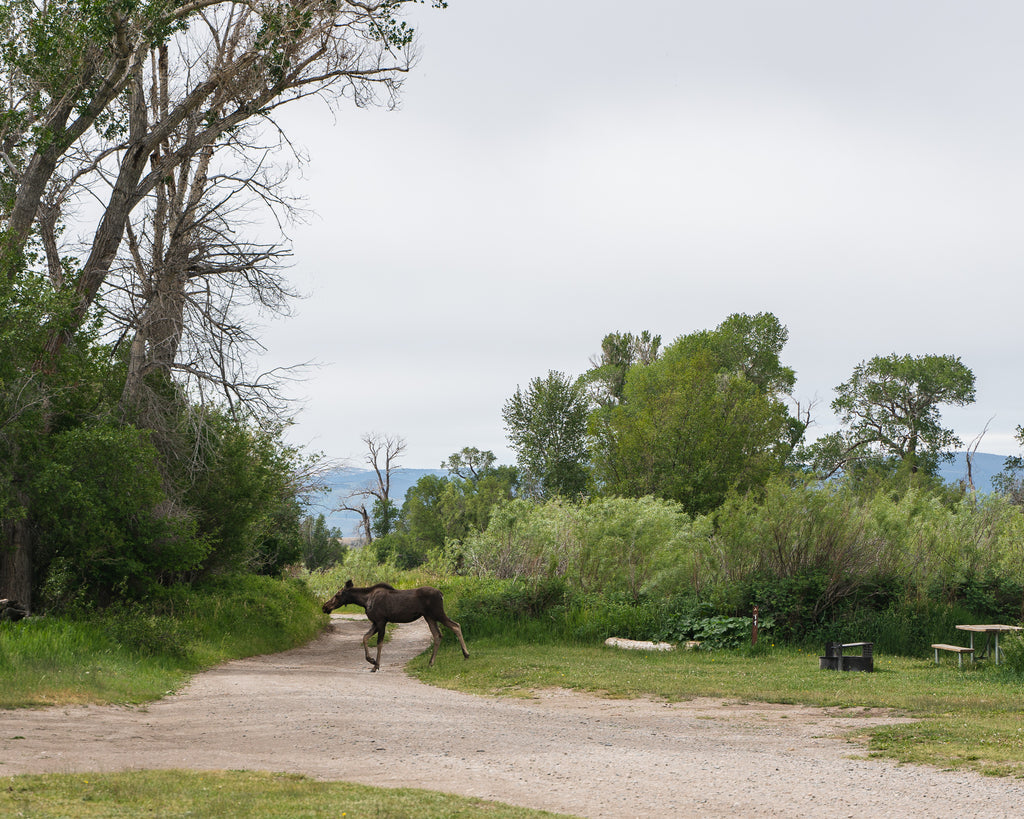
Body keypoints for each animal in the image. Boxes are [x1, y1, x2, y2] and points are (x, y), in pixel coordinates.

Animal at [321, 577, 468, 671]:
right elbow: (364, 638)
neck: (364, 601)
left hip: (437, 613)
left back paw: (466, 654)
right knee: (438, 635)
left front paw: (376, 665)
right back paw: (431, 663)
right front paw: (371, 660)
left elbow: (379, 643)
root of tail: (441, 594)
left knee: (456, 625)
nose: (324, 607)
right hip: (429, 617)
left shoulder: (381, 621)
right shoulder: (375, 622)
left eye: (337, 595)